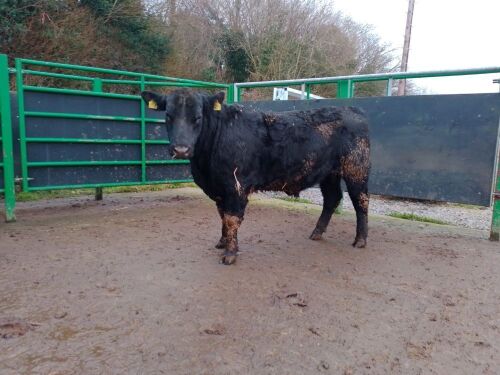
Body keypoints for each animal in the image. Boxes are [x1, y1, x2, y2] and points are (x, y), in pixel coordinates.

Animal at [143, 89, 370, 266]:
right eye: (168, 116)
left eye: (197, 117)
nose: (181, 149)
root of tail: (351, 110)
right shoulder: (219, 189)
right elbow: (222, 216)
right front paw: (223, 242)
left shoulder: (236, 187)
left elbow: (231, 219)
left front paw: (230, 254)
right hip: (329, 173)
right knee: (332, 199)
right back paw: (317, 233)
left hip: (356, 170)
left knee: (361, 201)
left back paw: (360, 240)